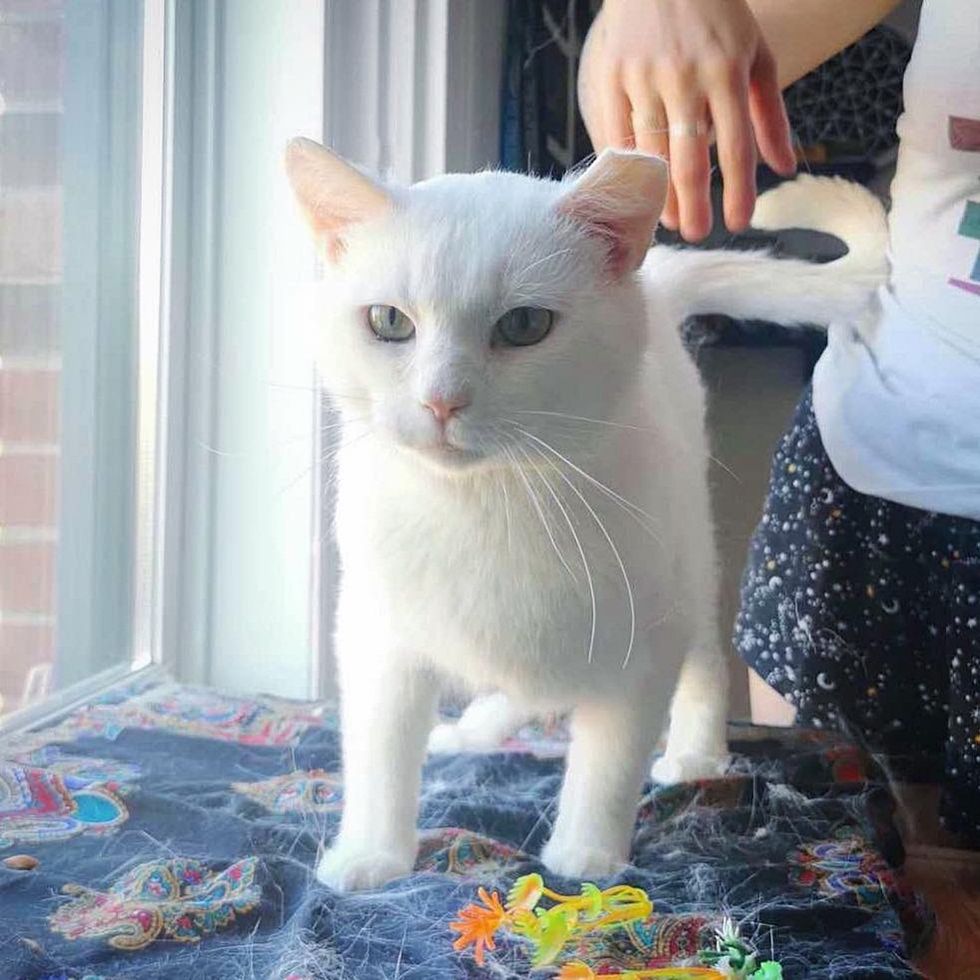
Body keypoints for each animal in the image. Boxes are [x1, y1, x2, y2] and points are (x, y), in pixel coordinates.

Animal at [284, 140, 888, 896]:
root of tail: (658, 282)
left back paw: (694, 755)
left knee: (705, 665)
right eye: (389, 322)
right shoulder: (377, 639)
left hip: (691, 562)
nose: (442, 400)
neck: (488, 505)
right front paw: (372, 854)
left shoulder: (643, 644)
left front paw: (588, 856)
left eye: (524, 326)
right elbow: (379, 755)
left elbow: (609, 762)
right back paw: (474, 727)